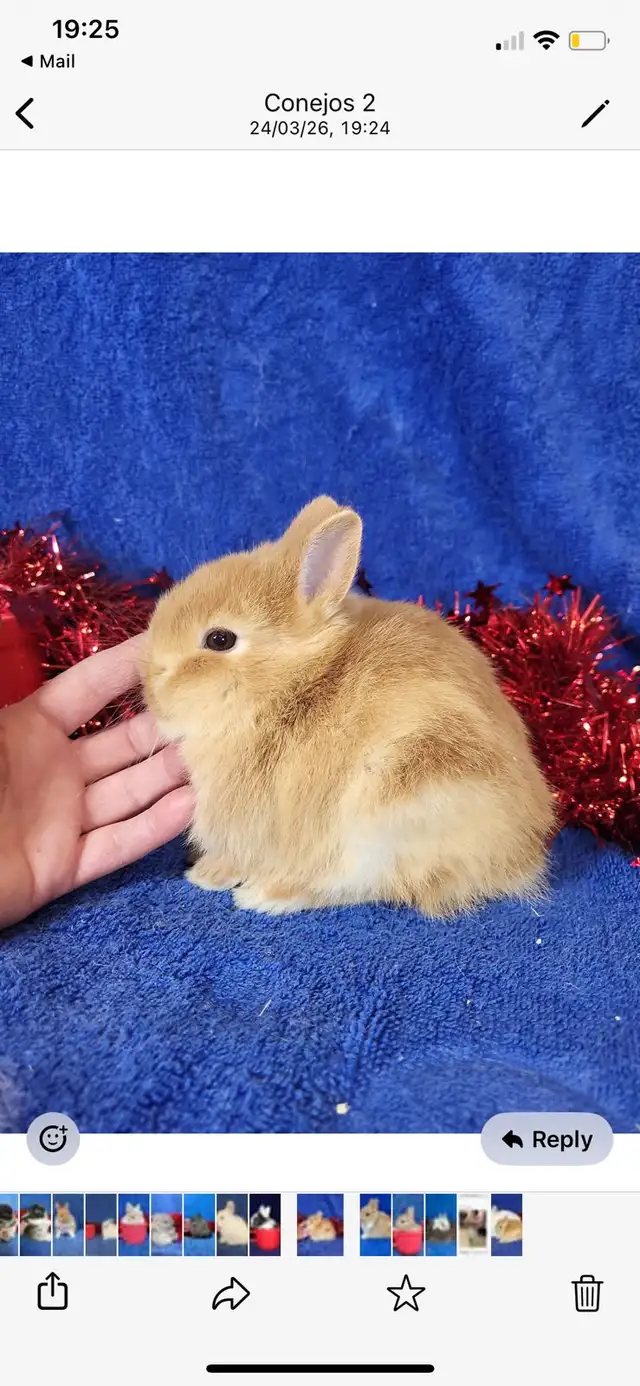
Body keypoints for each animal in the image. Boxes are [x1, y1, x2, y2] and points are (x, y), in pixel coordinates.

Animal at [142, 496, 556, 920]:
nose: (151, 690)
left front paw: (210, 877)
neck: (292, 688)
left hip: (395, 804)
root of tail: (519, 853)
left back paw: (268, 895)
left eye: (219, 639)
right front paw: (207, 873)